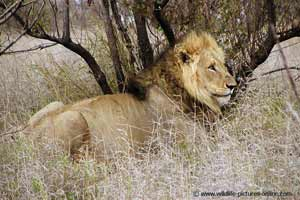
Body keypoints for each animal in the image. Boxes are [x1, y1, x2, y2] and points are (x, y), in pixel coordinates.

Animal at [26, 31, 237, 162]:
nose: (233, 86)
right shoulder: (193, 142)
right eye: (211, 67)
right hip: (74, 118)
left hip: (54, 103)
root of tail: (22, 139)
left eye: (223, 64)